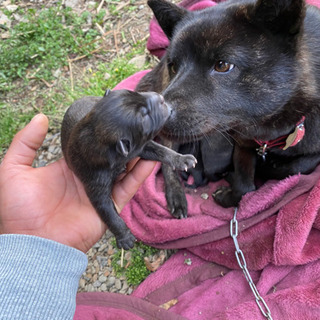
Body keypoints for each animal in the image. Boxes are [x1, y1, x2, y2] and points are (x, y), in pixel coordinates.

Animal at [59, 89, 195, 249]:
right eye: (144, 116)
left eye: (137, 93)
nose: (161, 97)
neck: (95, 134)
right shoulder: (96, 185)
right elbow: (109, 213)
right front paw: (124, 237)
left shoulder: (140, 146)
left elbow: (162, 150)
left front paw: (182, 159)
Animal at [137, 0, 320, 210]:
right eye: (174, 66)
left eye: (222, 65)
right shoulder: (242, 143)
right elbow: (245, 186)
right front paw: (230, 193)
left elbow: (298, 166)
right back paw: (176, 196)